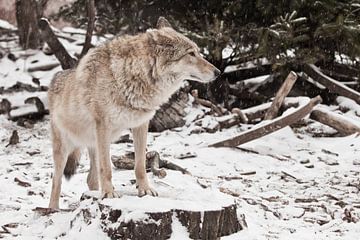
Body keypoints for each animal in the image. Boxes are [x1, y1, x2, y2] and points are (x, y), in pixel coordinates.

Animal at [47, 16, 219, 208]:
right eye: (191, 54)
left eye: (198, 52)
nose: (218, 72)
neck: (132, 75)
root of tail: (55, 79)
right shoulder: (103, 127)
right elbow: (107, 168)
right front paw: (109, 194)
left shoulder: (141, 125)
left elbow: (140, 165)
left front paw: (145, 190)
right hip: (66, 149)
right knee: (56, 182)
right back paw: (53, 209)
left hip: (95, 145)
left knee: (90, 178)